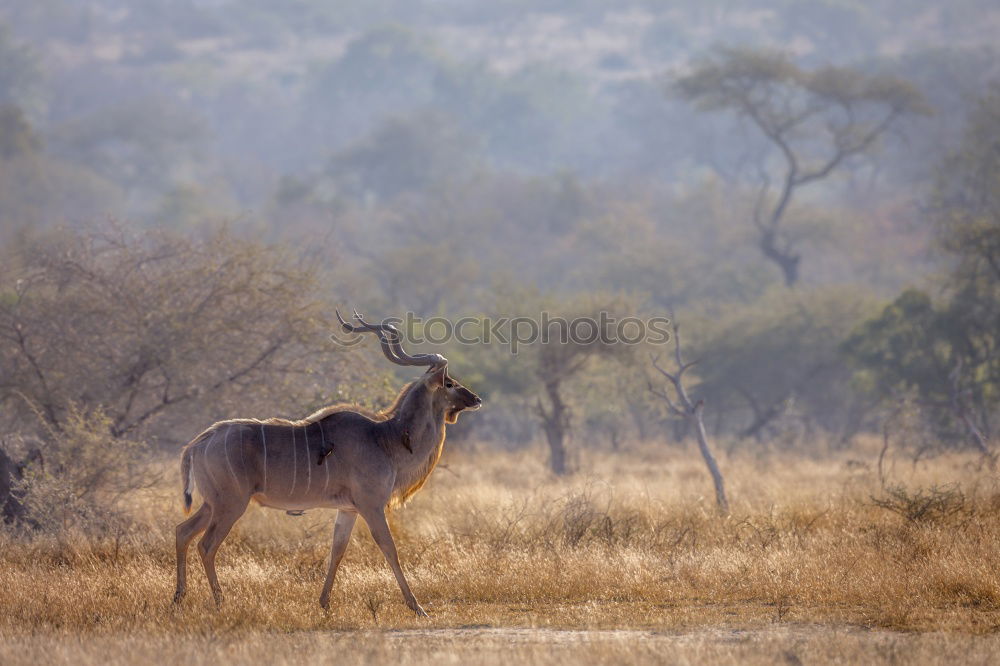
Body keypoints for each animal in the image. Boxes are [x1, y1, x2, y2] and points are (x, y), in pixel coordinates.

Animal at [171, 312, 480, 612]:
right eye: (449, 383)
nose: (476, 398)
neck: (386, 438)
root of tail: (199, 443)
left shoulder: (348, 509)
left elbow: (337, 550)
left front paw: (324, 603)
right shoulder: (371, 505)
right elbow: (389, 548)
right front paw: (417, 607)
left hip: (212, 504)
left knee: (182, 532)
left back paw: (178, 598)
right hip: (231, 504)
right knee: (206, 545)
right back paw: (219, 602)